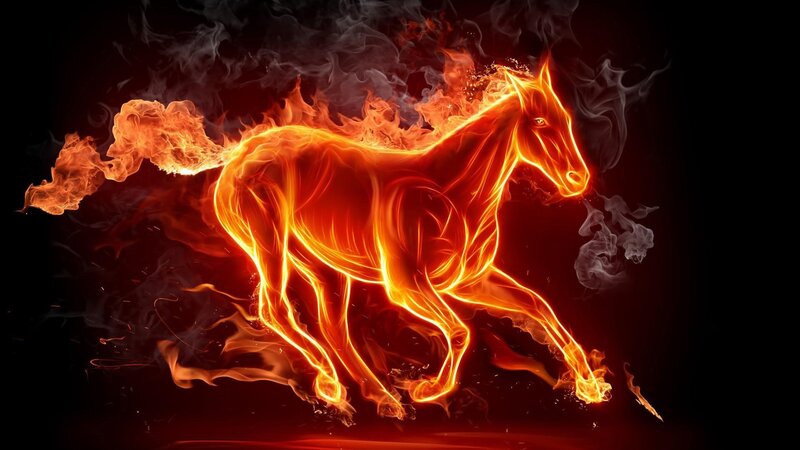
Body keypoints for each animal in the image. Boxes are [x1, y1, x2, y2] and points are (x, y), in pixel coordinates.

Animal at [212, 60, 611, 419]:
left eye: (566, 119)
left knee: (332, 326)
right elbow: (460, 331)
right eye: (540, 122)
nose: (578, 179)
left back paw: (382, 399)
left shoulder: (469, 282)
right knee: (275, 309)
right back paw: (332, 384)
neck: (453, 191)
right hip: (269, 243)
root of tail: (239, 157)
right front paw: (429, 389)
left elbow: (538, 306)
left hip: (320, 262)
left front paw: (590, 387)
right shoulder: (406, 284)